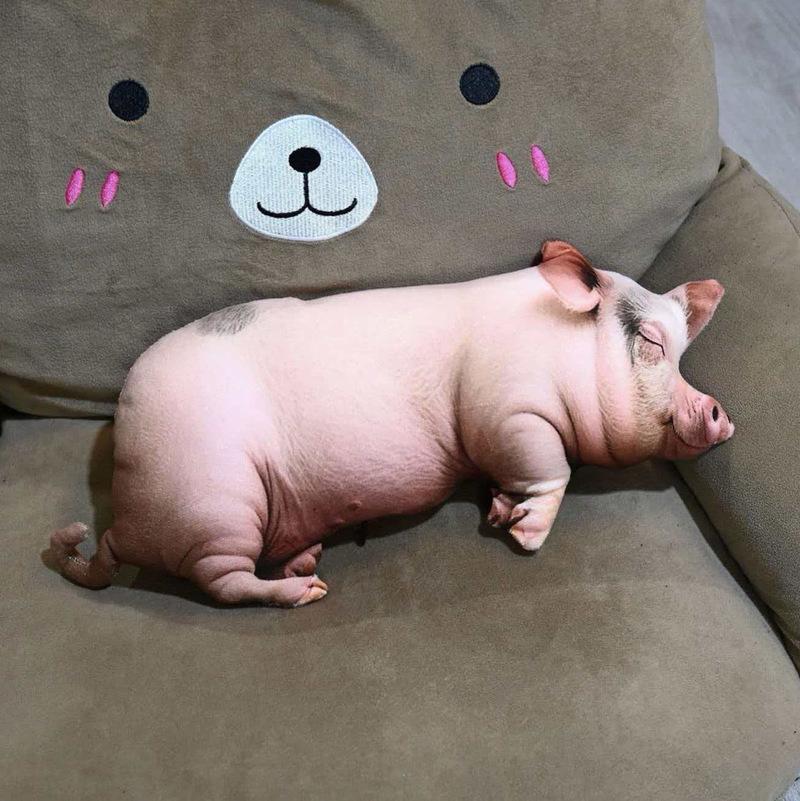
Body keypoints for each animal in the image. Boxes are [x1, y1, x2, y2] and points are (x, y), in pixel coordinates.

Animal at [49, 240, 733, 608]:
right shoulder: (506, 409)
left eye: (682, 352)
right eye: (651, 343)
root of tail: (123, 521)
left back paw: (305, 560)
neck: (561, 351)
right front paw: (524, 536)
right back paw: (309, 592)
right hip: (213, 501)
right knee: (225, 583)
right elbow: (550, 468)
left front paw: (497, 513)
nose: (720, 413)